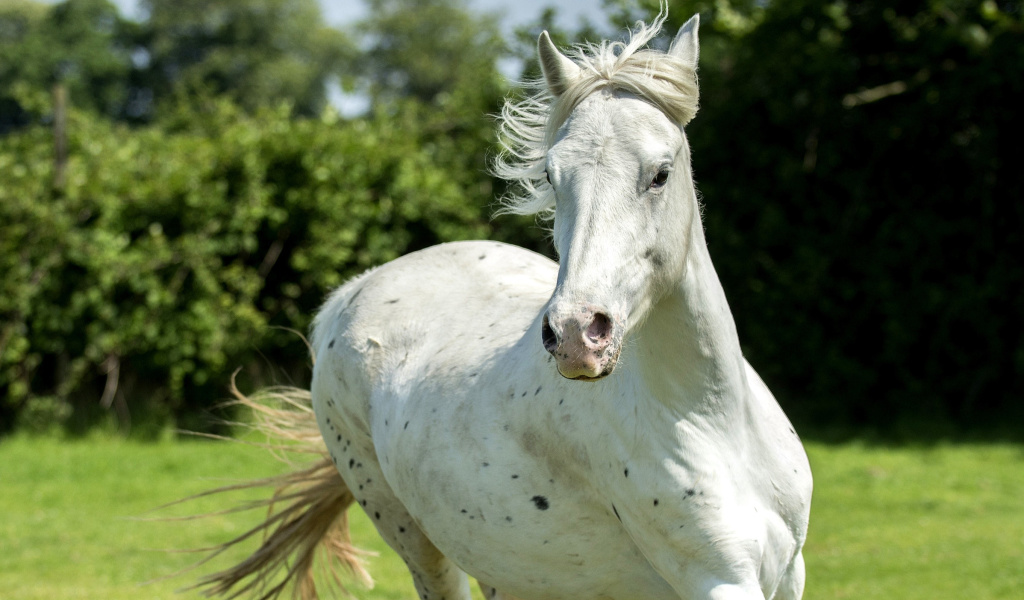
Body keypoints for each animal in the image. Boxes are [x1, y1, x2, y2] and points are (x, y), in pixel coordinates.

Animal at [195, 12, 811, 597]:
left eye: (660, 174)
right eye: (552, 177)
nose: (576, 336)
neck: (711, 422)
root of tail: (351, 295)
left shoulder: (787, 578)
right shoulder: (718, 581)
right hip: (415, 541)